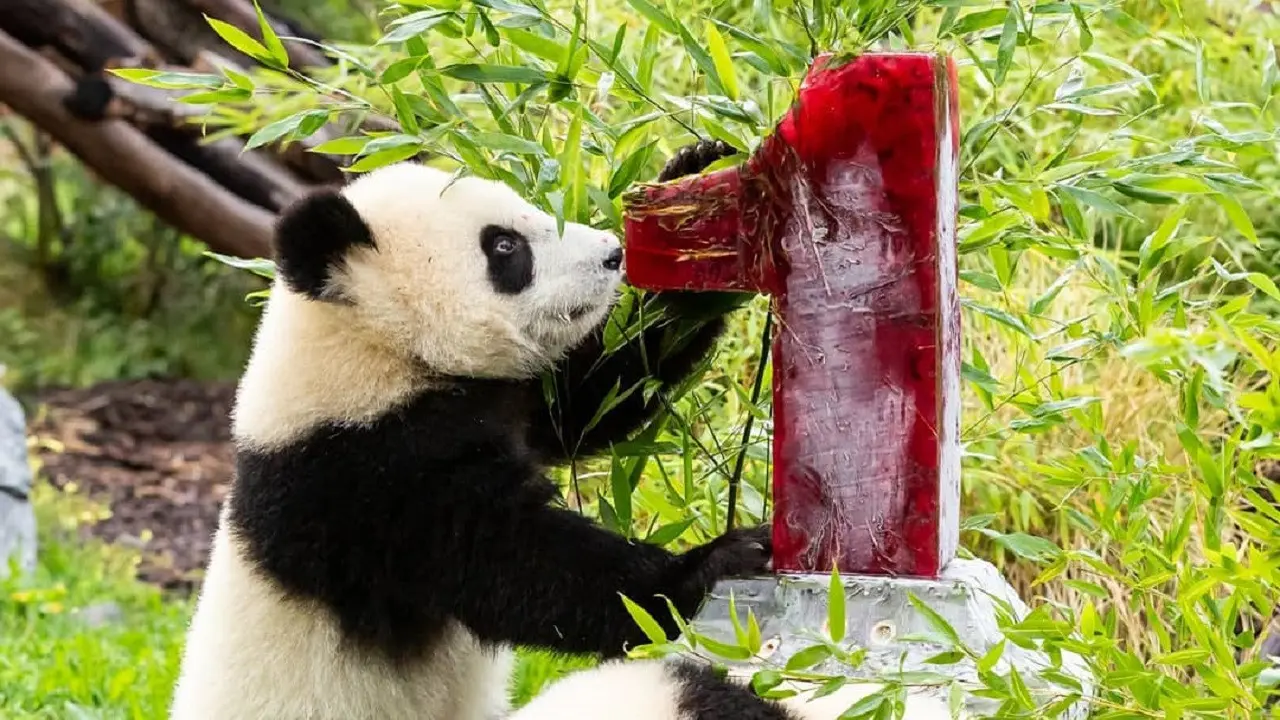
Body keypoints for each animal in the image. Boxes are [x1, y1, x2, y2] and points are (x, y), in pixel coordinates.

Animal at [168, 140, 775, 720]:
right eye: (504, 246)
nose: (611, 253)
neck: (371, 349)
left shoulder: (506, 400)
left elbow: (595, 394)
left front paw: (693, 212)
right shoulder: (364, 481)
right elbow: (515, 564)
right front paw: (716, 562)